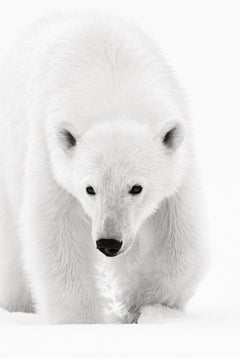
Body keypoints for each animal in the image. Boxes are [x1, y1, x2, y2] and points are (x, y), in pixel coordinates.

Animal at [0, 13, 206, 324]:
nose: (109, 242)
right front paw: (82, 321)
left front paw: (141, 304)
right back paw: (18, 305)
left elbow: (180, 239)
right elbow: (54, 231)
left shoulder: (177, 161)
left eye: (136, 187)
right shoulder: (50, 154)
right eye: (90, 189)